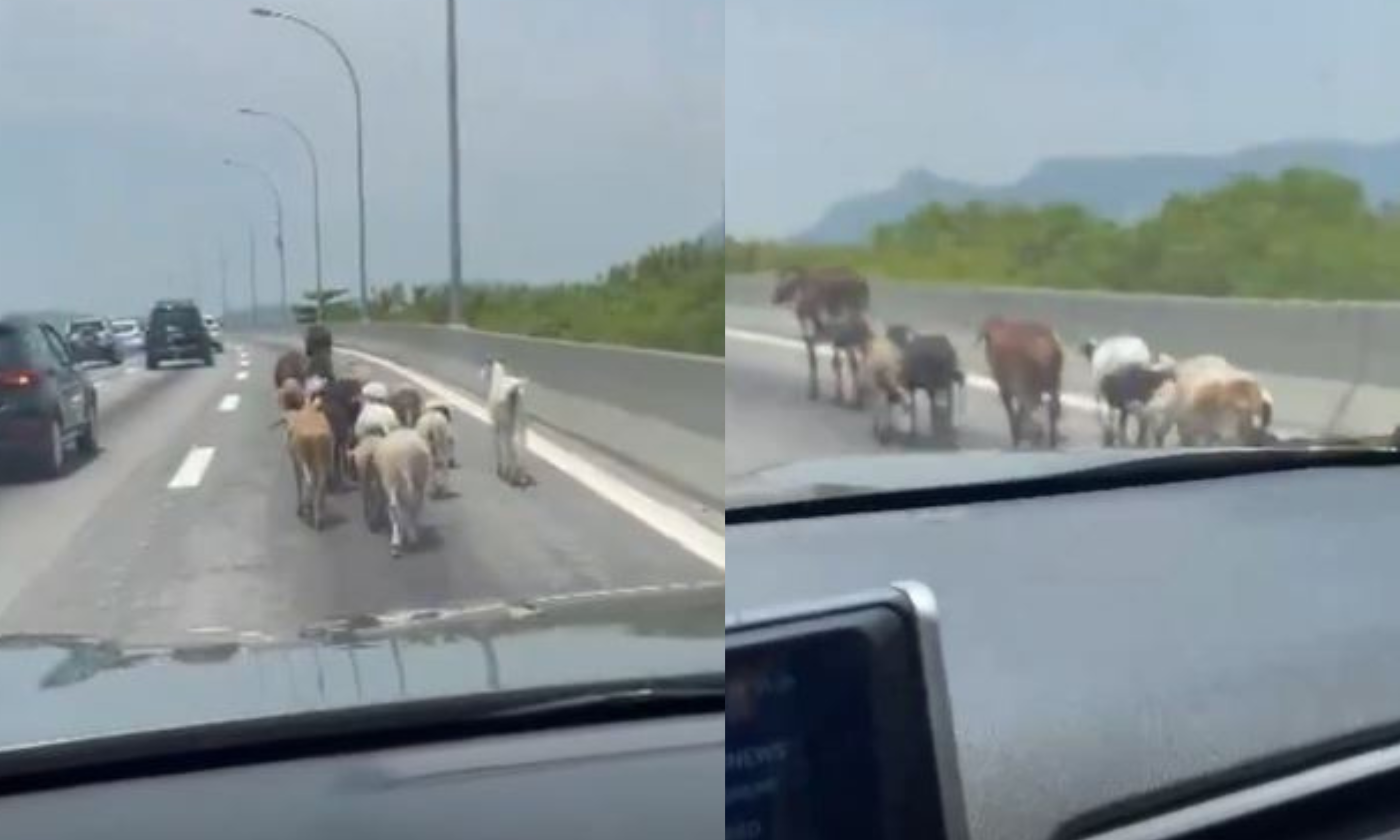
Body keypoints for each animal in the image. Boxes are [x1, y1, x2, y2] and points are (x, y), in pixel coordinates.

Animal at [772, 267, 868, 403]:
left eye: (782, 285)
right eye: (777, 283)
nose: (773, 298)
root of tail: (863, 284)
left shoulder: (815, 321)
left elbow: (823, 358)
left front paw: (818, 392)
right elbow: (819, 358)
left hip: (852, 315)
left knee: (856, 352)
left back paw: (857, 397)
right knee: (859, 351)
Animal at [980, 316, 1064, 450]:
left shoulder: (1007, 387)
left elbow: (1012, 411)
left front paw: (1018, 436)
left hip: (1028, 386)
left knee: (1032, 408)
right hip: (1053, 383)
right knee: (1053, 408)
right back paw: (1050, 441)